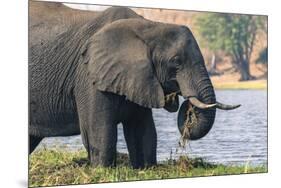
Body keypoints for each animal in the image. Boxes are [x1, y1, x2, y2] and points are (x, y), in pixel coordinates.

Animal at [28, 6, 238, 169]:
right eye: (176, 62)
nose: (187, 107)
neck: (149, 26)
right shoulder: (89, 75)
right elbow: (99, 128)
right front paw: (102, 171)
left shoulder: (138, 77)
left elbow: (142, 129)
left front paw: (146, 169)